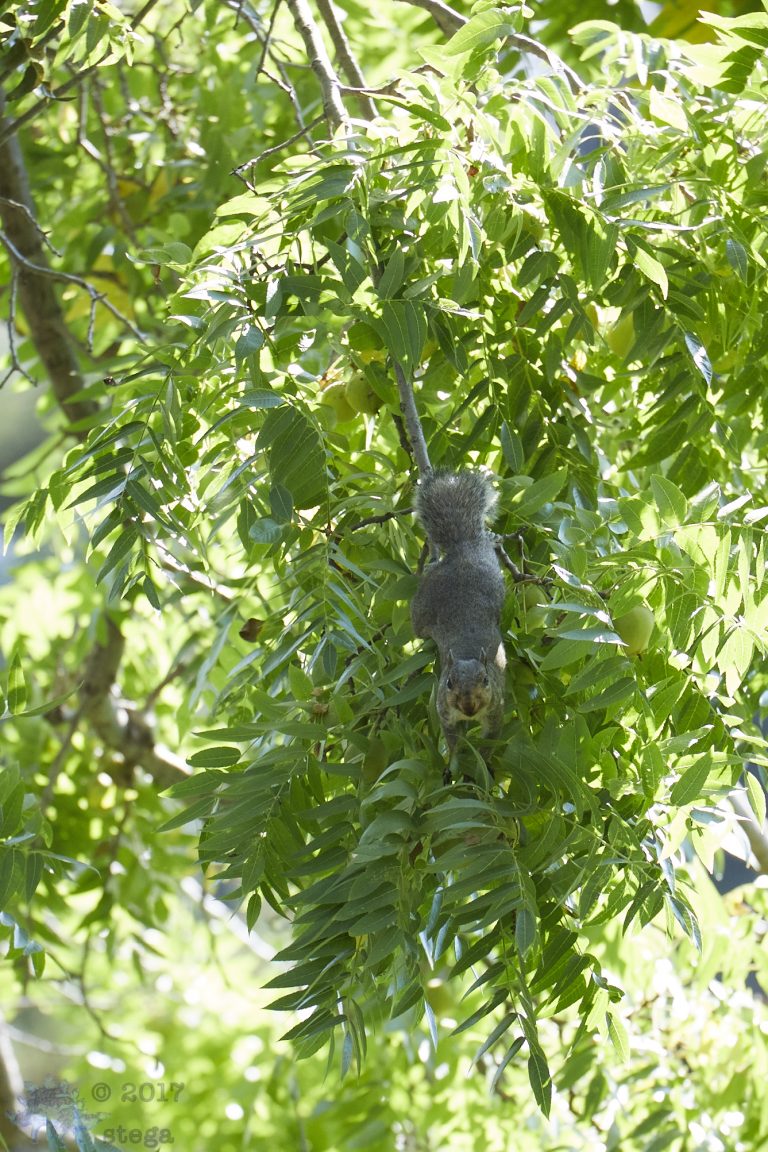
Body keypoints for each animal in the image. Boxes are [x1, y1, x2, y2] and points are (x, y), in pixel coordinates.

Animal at [411, 469, 507, 769]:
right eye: (449, 682)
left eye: (485, 680)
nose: (468, 706)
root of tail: (461, 551)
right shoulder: (445, 711)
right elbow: (453, 740)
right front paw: (453, 763)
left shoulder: (496, 710)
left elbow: (490, 740)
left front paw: (482, 764)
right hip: (422, 614)